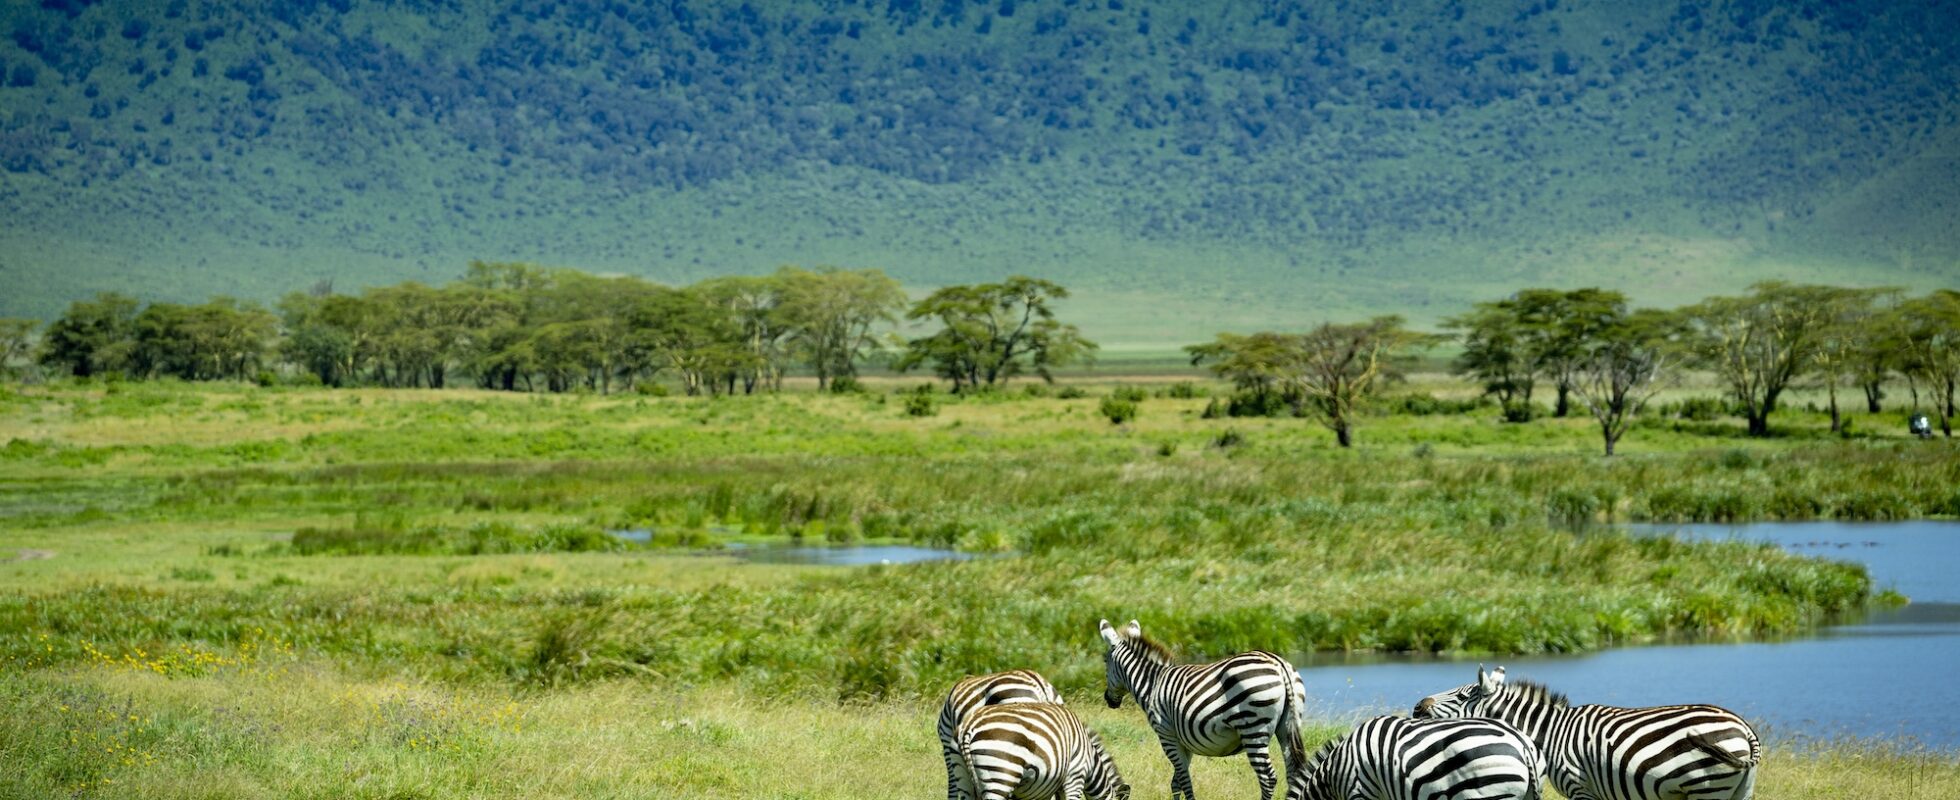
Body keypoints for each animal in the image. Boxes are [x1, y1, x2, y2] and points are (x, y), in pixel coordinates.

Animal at [1098, 618, 1310, 800]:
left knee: (1267, 777)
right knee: (1293, 773)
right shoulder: (1183, 740)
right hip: (1287, 727)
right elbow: (1176, 782)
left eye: (1105, 662)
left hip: (1253, 729)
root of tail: (1278, 664)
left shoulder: (1166, 735)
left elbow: (1184, 779)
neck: (1153, 684)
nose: (1108, 699)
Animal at [1412, 666, 1760, 800]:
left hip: (1708, 787)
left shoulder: (1580, 786)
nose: (1416, 707)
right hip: (1738, 789)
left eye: (1461, 696)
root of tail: (1744, 728)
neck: (1550, 733)